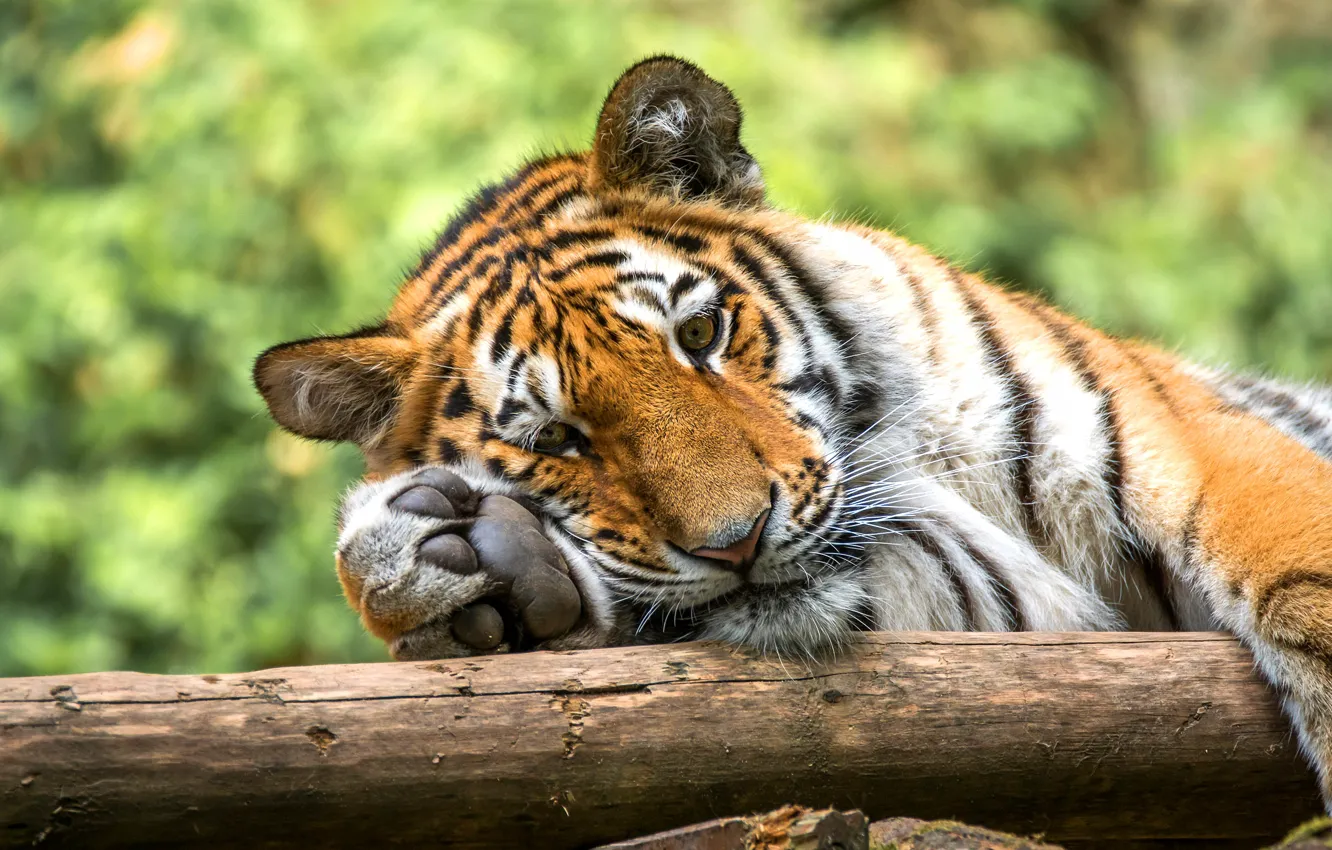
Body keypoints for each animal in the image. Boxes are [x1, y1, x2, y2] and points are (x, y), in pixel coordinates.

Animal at [254, 56, 1332, 808]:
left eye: (701, 334)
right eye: (557, 440)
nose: (736, 543)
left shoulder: (1190, 444)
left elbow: (1300, 573)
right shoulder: (1031, 630)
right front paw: (462, 563)